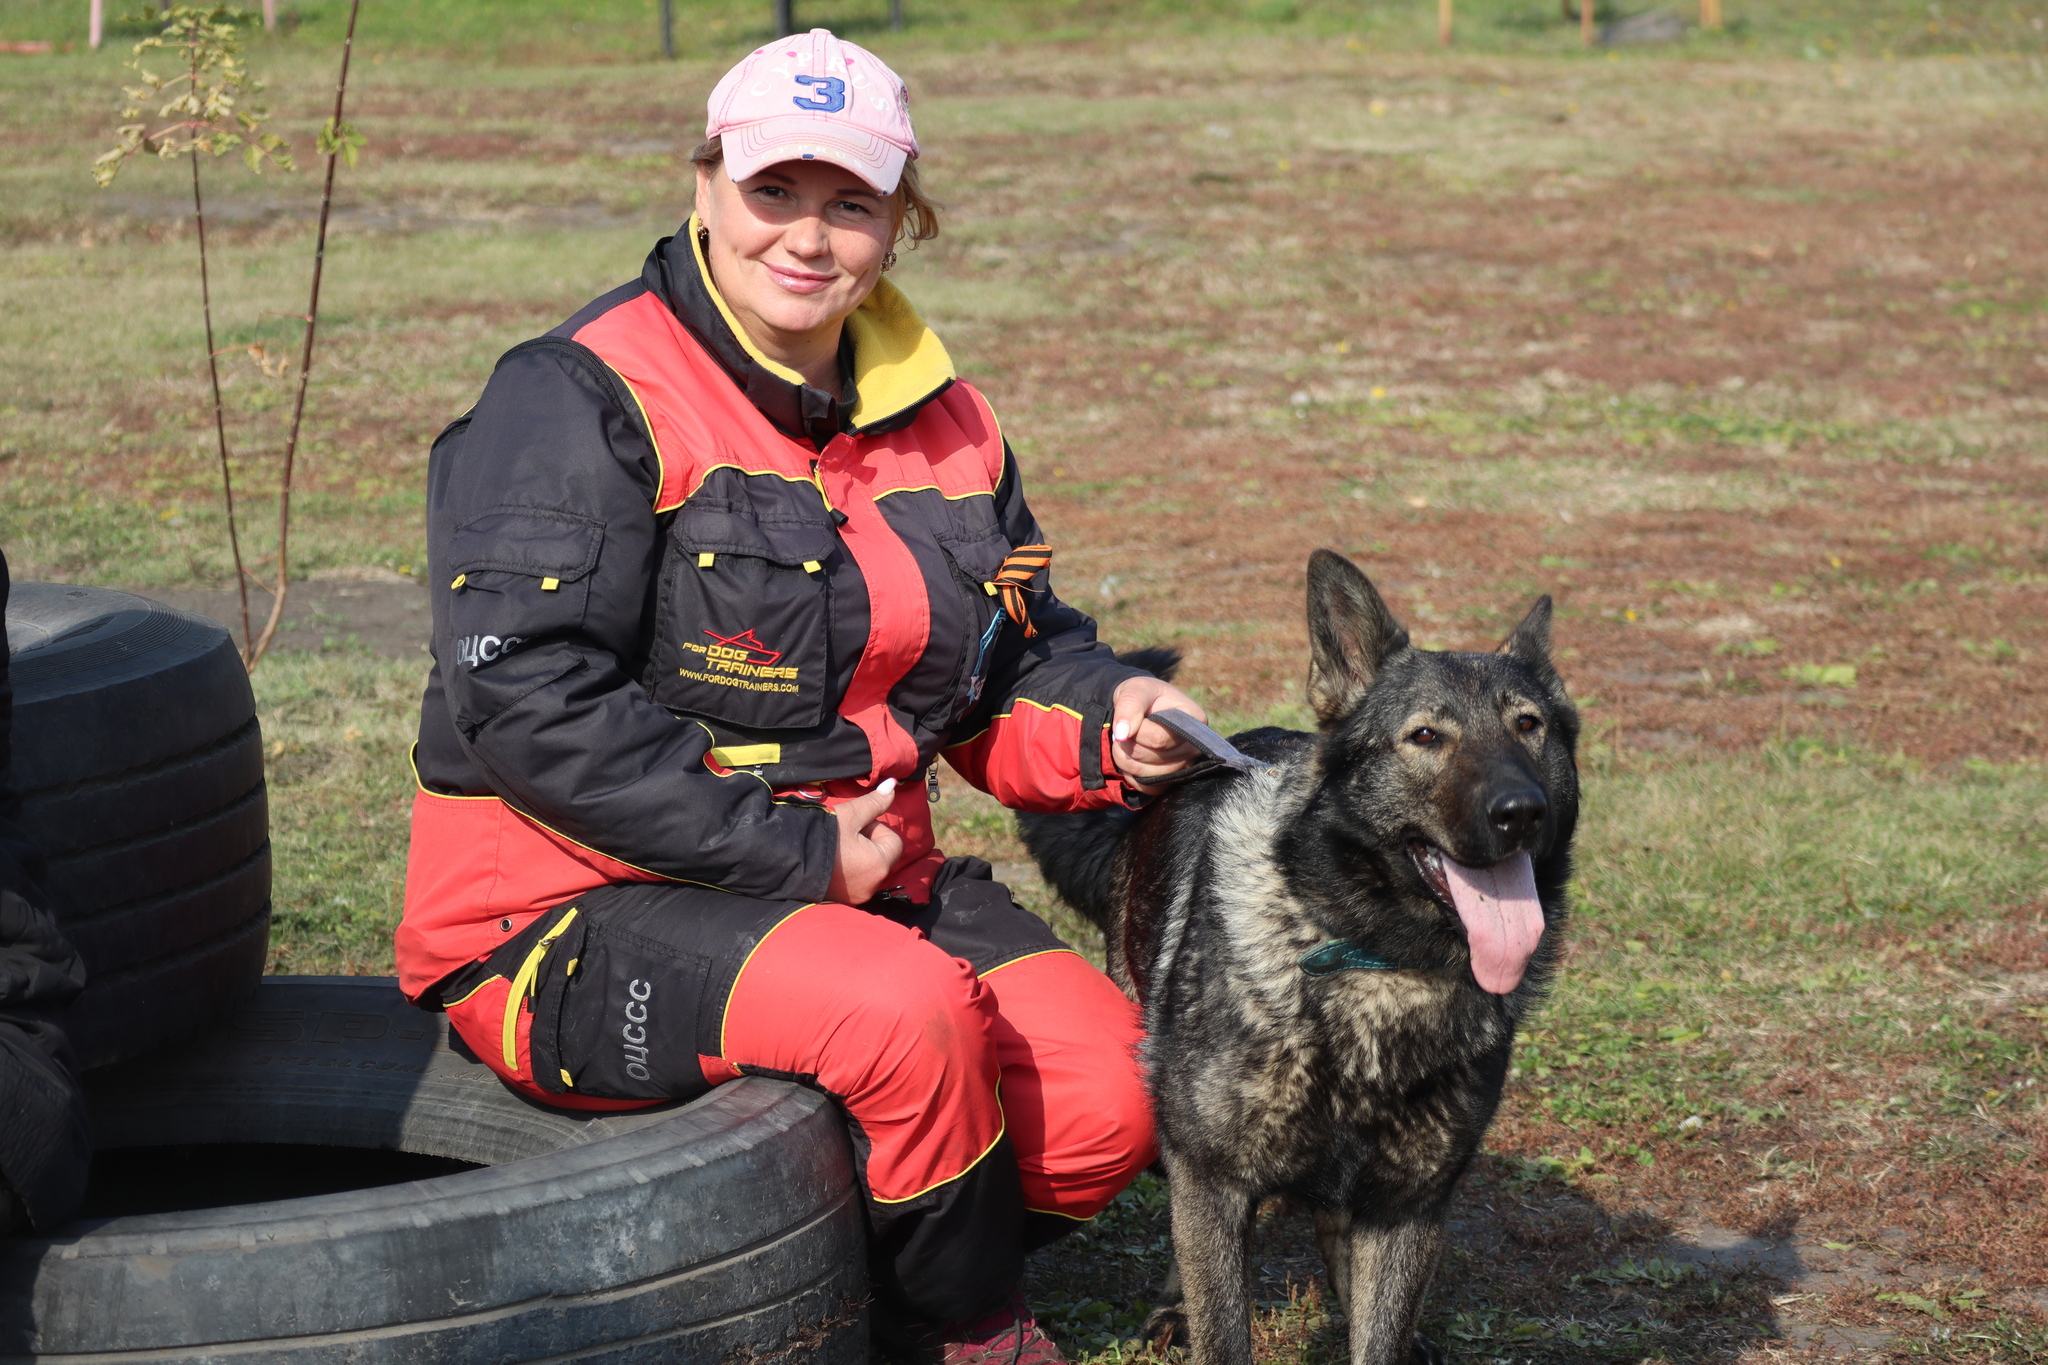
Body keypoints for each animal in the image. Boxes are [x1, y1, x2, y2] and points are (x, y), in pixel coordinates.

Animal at [1024, 552, 1581, 1365]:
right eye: (1425, 736)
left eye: (1529, 726)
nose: (1520, 811)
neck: (1379, 963)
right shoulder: (1213, 1179)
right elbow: (1224, 1323)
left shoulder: (1408, 1206)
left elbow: (1379, 1328)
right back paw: (1175, 1307)